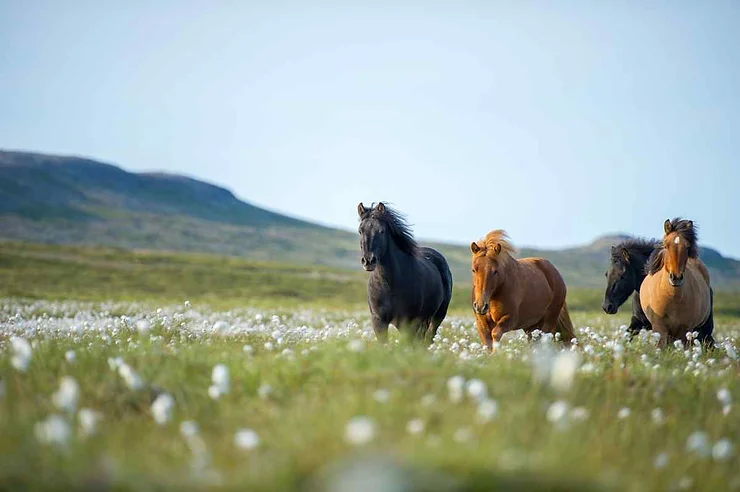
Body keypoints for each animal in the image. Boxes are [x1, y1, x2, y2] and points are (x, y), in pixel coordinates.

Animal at [356, 202, 454, 344]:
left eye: (381, 231)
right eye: (360, 230)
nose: (368, 260)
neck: (389, 284)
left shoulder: (409, 322)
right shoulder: (379, 321)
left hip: (436, 316)